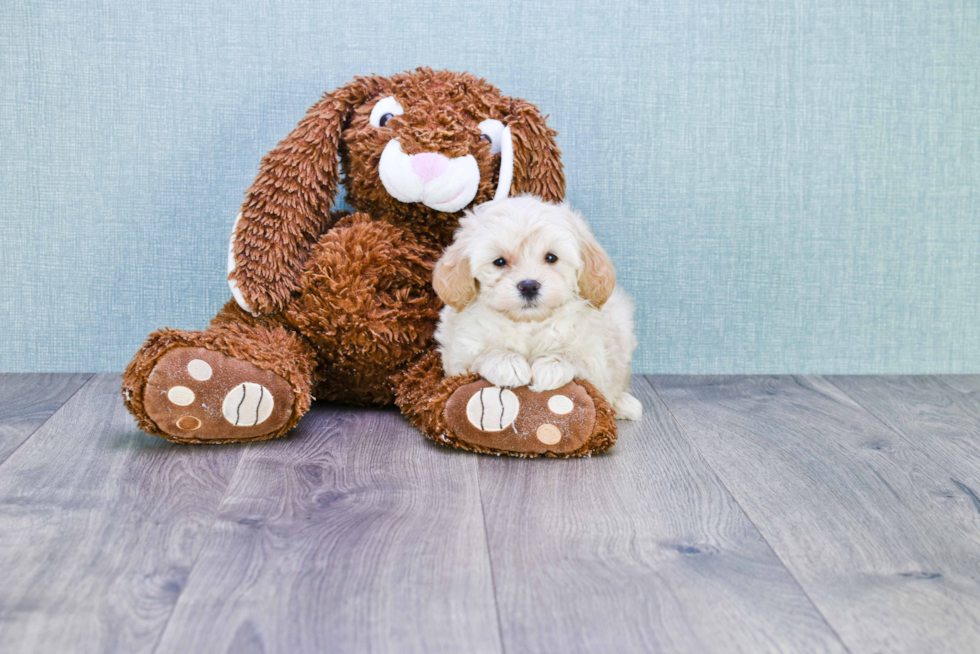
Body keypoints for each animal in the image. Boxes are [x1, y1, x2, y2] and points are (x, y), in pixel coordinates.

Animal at [434, 196, 644, 420]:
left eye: (551, 257)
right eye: (499, 261)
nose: (528, 285)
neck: (529, 322)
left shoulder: (594, 356)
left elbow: (575, 356)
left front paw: (551, 366)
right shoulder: (459, 354)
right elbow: (483, 352)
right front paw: (508, 361)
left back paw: (624, 404)